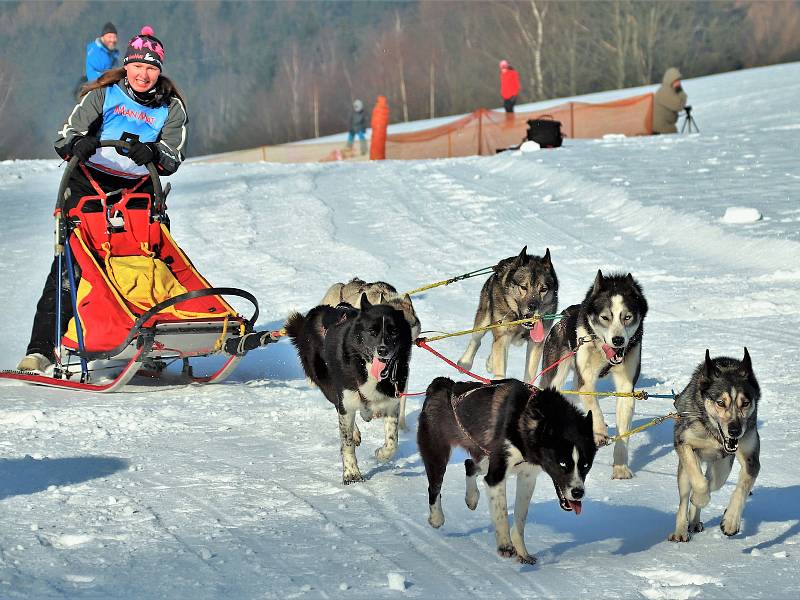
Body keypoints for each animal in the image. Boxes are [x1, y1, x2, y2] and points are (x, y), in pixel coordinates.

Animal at [286, 298, 412, 486]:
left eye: (394, 331)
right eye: (372, 331)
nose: (383, 350)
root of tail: (318, 311)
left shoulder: (392, 403)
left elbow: (392, 442)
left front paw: (382, 454)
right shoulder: (346, 399)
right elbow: (346, 443)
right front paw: (351, 473)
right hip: (329, 387)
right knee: (339, 408)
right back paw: (354, 432)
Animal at [418, 378, 592, 564]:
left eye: (586, 465)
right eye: (562, 463)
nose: (578, 492)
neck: (525, 416)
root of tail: (443, 384)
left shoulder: (527, 477)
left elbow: (520, 519)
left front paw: (522, 552)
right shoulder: (497, 477)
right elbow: (501, 514)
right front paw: (505, 545)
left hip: (486, 457)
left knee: (469, 465)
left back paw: (471, 497)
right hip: (438, 455)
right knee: (434, 487)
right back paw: (436, 517)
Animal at [540, 272, 648, 478]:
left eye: (627, 317)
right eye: (605, 317)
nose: (618, 340)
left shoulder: (626, 388)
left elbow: (623, 433)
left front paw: (620, 468)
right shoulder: (586, 382)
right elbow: (593, 404)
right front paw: (598, 432)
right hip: (555, 375)